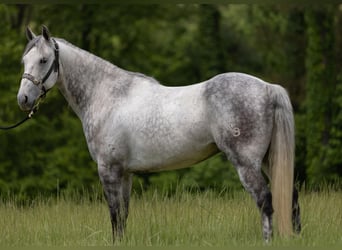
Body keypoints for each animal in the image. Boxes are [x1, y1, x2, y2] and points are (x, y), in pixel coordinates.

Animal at [16, 25, 300, 242]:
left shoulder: (108, 170)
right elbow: (124, 215)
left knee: (265, 201)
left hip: (246, 163)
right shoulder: (125, 172)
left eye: (43, 60)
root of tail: (268, 88)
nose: (23, 99)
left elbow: (114, 214)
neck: (108, 95)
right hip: (268, 160)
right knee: (290, 197)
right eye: (24, 61)